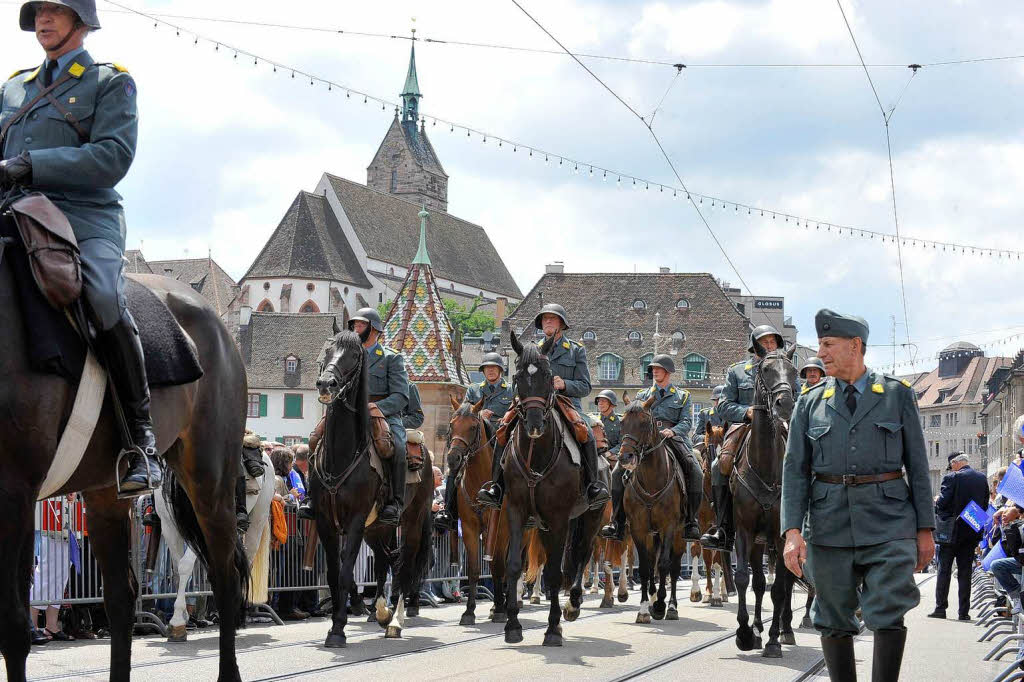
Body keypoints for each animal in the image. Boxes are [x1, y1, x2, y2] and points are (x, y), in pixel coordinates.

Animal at [0, 241, 249, 675]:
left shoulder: (15, 492)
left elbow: (13, 626)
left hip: (210, 482)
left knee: (224, 577)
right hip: (105, 493)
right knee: (121, 596)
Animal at [152, 450, 276, 638]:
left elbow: (185, 566)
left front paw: (177, 621)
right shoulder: (169, 527)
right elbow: (177, 570)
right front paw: (183, 618)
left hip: (258, 520)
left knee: (248, 561)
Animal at [497, 333, 602, 643]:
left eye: (547, 375)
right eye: (517, 375)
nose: (534, 424)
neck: (536, 453)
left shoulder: (558, 517)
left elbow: (555, 572)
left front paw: (553, 627)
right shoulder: (516, 511)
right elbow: (514, 565)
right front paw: (513, 625)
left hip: (590, 517)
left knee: (582, 555)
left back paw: (574, 604)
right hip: (545, 524)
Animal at [614, 393, 688, 622]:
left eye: (645, 423)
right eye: (621, 422)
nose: (625, 458)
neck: (651, 480)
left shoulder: (669, 527)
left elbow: (664, 565)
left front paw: (662, 605)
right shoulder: (638, 529)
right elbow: (646, 567)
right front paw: (645, 608)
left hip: (679, 534)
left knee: (673, 567)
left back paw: (671, 606)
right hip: (651, 534)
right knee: (653, 561)